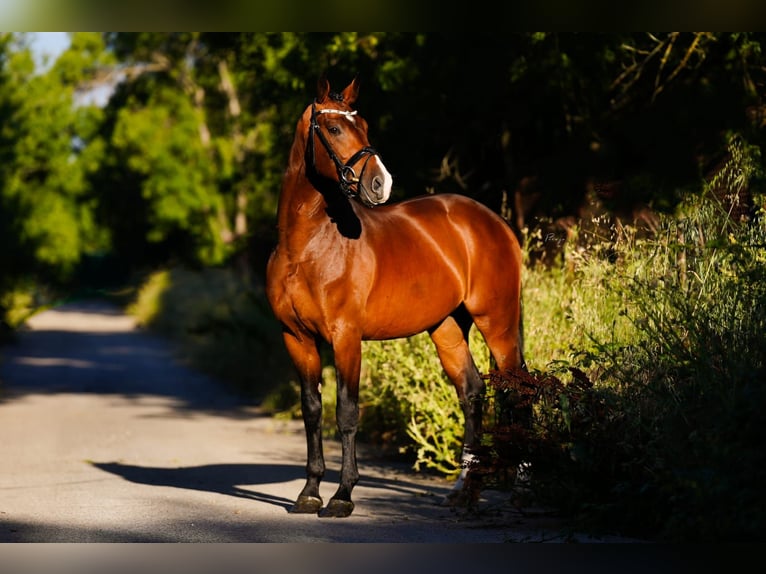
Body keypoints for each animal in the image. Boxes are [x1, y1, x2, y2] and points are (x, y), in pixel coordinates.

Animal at [268, 74, 524, 520]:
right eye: (333, 128)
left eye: (364, 125)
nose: (380, 183)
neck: (305, 248)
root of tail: (494, 221)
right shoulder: (296, 339)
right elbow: (312, 410)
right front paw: (309, 493)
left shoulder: (346, 338)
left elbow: (347, 412)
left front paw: (342, 496)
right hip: (448, 328)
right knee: (472, 393)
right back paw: (464, 493)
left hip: (499, 324)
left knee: (519, 389)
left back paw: (522, 490)